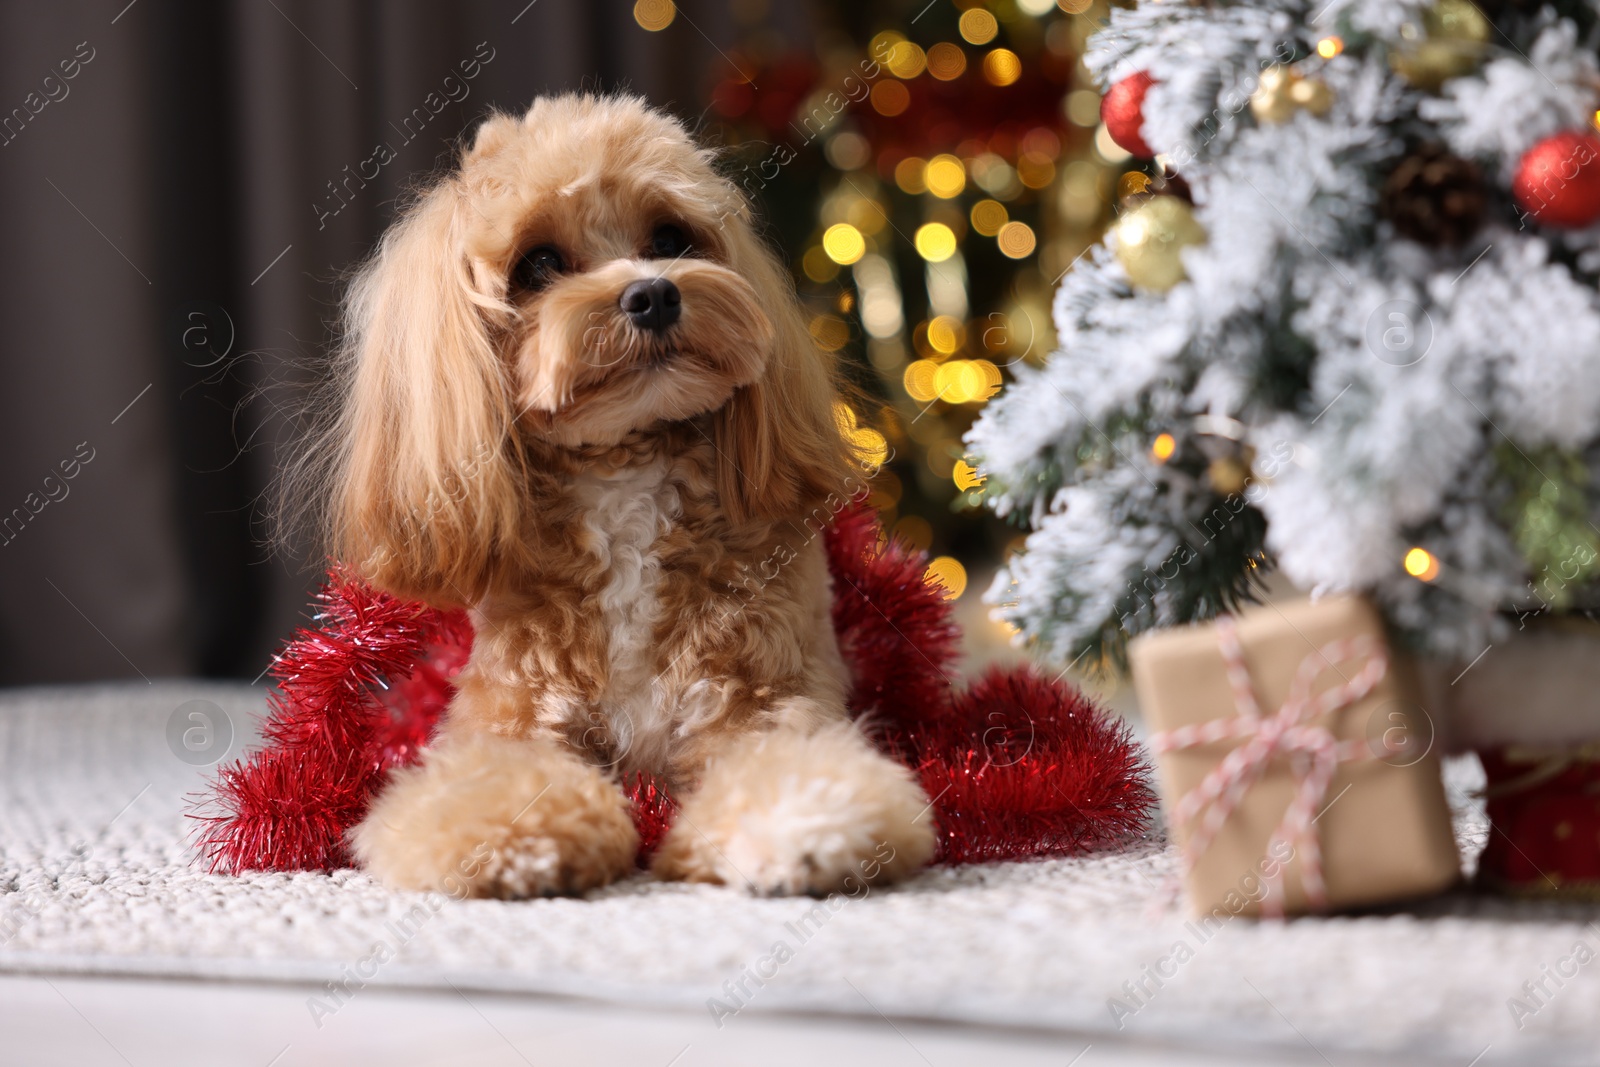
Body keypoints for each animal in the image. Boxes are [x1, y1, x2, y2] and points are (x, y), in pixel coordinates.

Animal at [310, 95, 934, 895]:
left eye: (669, 237)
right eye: (539, 263)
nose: (654, 291)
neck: (626, 475)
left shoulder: (763, 697)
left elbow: (787, 763)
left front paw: (802, 822)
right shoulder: (511, 715)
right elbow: (495, 779)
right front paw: (517, 837)